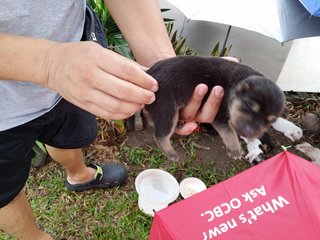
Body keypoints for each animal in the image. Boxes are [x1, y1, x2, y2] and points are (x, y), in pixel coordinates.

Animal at [144, 56, 284, 161]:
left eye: (271, 120)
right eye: (248, 106)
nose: (249, 132)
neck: (235, 84)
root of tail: (150, 74)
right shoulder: (220, 116)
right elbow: (230, 133)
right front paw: (235, 150)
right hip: (167, 109)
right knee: (160, 135)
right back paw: (170, 153)